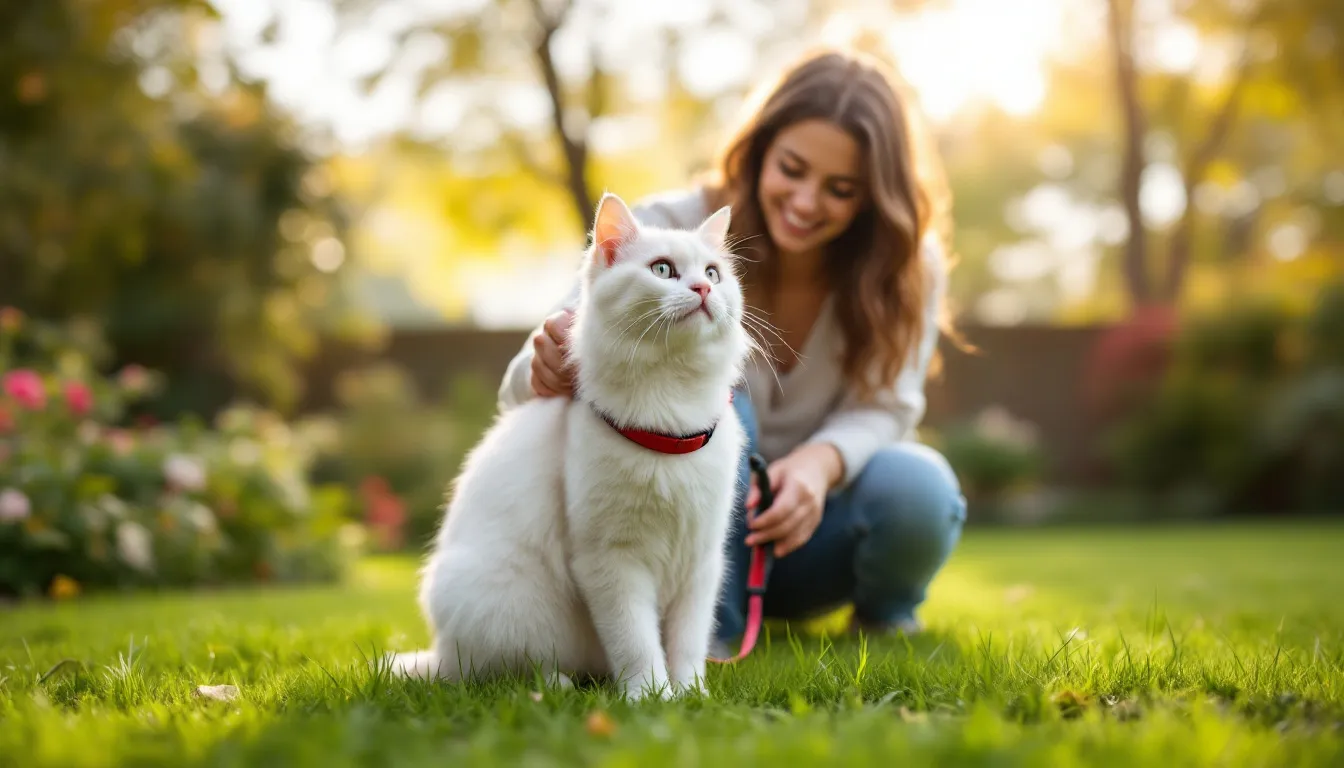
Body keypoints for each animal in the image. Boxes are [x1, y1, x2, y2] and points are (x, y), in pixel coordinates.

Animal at [392, 189, 758, 699]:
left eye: (712, 273)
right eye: (663, 270)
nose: (703, 291)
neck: (671, 419)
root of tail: (442, 654)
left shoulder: (700, 563)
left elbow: (686, 645)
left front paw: (691, 696)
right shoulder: (610, 561)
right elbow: (637, 643)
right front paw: (650, 697)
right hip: (505, 606)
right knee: (506, 675)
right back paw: (559, 687)